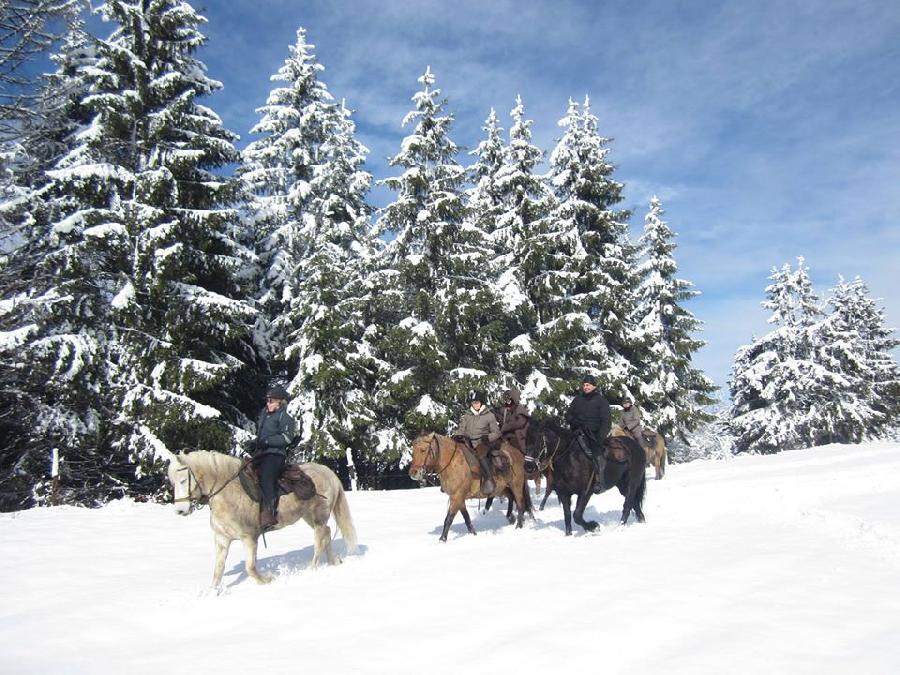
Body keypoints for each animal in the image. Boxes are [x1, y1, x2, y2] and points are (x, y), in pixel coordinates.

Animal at [165, 452, 356, 588]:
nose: (180, 510)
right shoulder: (222, 539)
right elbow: (218, 570)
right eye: (173, 482)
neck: (227, 492)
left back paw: (313, 568)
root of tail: (328, 472)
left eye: (183, 480)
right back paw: (333, 561)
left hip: (317, 517)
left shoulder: (249, 538)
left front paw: (268, 580)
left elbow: (250, 568)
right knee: (327, 534)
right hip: (311, 518)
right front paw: (212, 592)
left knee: (320, 540)